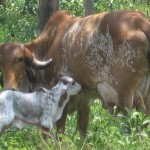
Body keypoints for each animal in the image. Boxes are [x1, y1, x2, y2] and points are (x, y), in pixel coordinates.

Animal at [0, 9, 150, 138]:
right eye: (1, 63)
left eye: (20, 59)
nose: (9, 87)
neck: (49, 43)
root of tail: (140, 21)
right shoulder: (85, 99)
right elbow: (82, 130)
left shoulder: (62, 102)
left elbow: (58, 132)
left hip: (124, 98)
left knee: (131, 125)